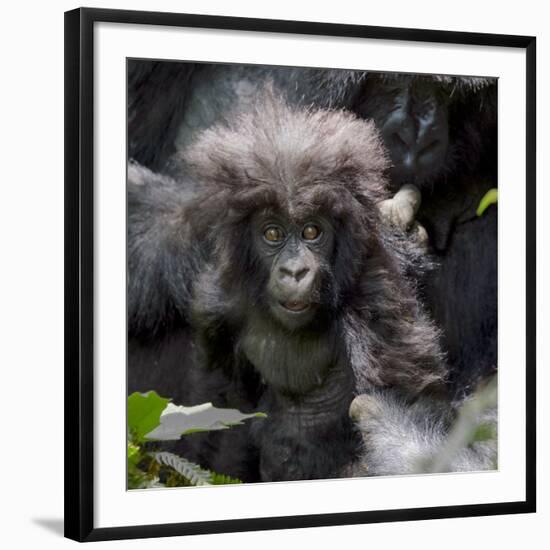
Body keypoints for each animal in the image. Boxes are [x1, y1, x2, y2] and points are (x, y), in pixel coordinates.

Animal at [128, 94, 448, 484]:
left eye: (312, 231)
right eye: (272, 233)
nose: (294, 271)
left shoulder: (377, 300)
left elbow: (412, 405)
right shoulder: (218, 305)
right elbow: (220, 401)